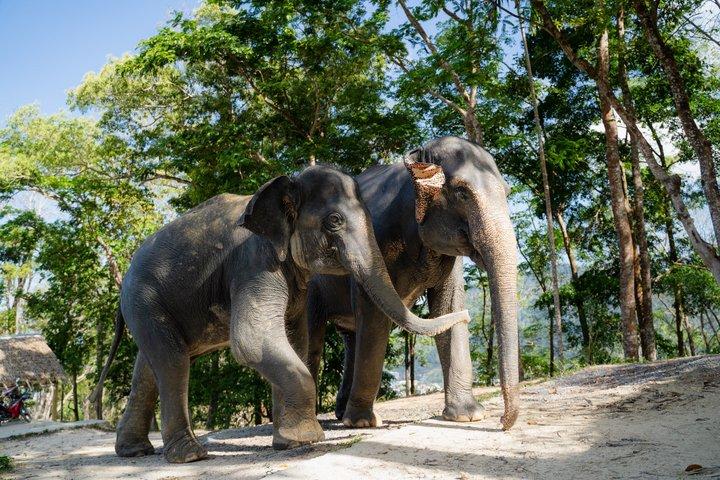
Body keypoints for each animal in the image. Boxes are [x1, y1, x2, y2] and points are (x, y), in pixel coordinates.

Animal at [92, 165, 469, 464]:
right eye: (335, 221)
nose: (466, 315)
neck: (286, 182)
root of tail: (125, 277)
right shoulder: (253, 263)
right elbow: (252, 339)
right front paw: (308, 438)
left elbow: (295, 341)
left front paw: (288, 442)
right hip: (145, 299)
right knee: (172, 362)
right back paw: (190, 455)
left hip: (150, 305)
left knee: (149, 367)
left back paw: (134, 452)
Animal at [307, 136, 520, 431]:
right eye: (462, 193)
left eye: (507, 192)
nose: (502, 422)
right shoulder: (373, 239)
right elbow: (374, 315)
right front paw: (363, 423)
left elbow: (447, 306)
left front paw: (467, 415)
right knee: (312, 338)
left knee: (350, 337)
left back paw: (340, 414)